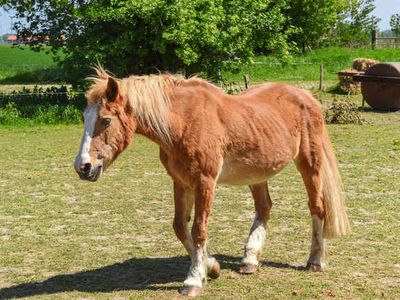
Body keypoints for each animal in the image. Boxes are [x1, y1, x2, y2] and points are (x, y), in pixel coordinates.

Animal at [75, 67, 350, 296]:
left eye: (106, 120)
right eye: (84, 118)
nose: (83, 167)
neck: (183, 122)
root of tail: (306, 97)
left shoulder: (204, 182)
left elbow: (198, 229)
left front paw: (193, 280)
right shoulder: (180, 182)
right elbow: (180, 227)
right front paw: (211, 267)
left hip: (309, 163)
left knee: (317, 207)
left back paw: (315, 261)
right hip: (257, 172)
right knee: (264, 207)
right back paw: (250, 260)